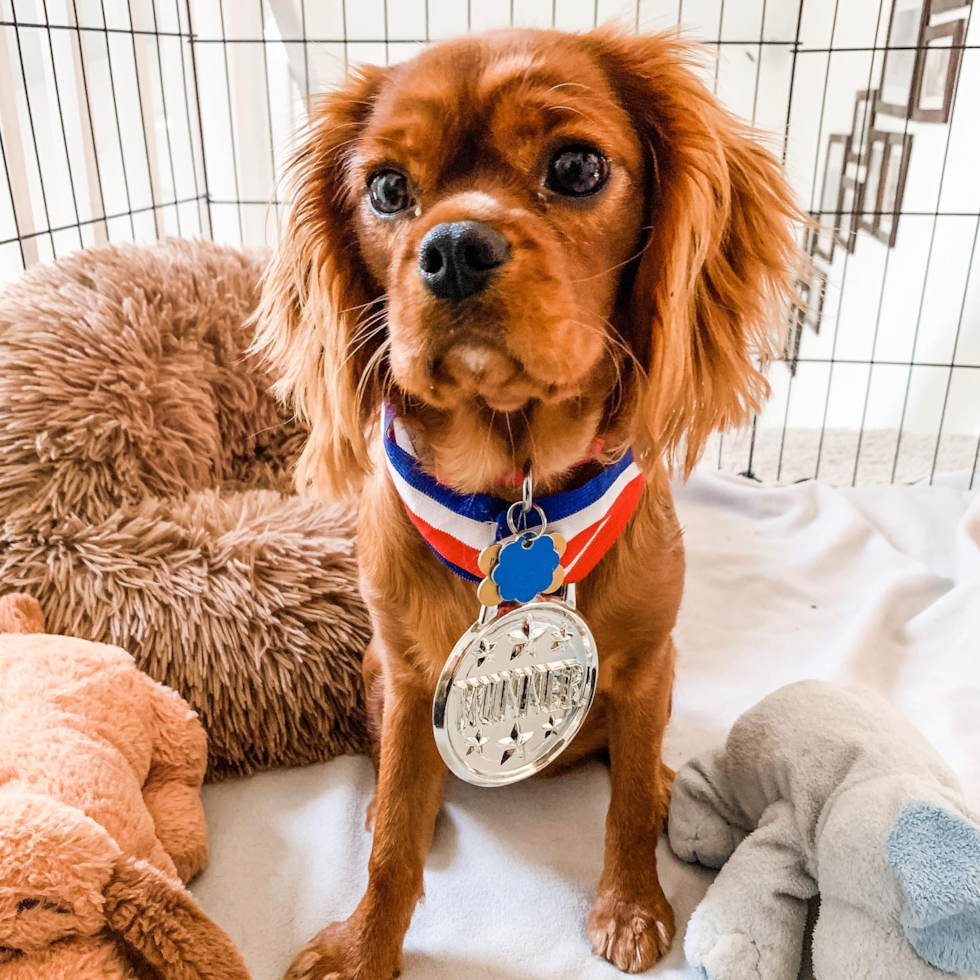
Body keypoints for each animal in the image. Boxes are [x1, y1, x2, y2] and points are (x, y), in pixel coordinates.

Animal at [255, 24, 804, 980]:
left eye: (578, 167)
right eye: (387, 189)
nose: (454, 248)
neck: (515, 502)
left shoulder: (648, 662)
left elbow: (626, 807)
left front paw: (631, 904)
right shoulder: (410, 680)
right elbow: (392, 844)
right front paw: (364, 946)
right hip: (372, 675)